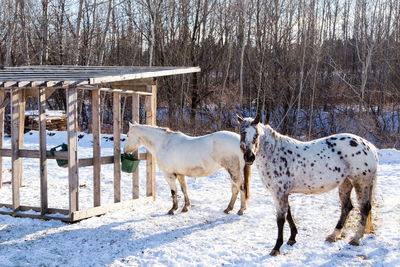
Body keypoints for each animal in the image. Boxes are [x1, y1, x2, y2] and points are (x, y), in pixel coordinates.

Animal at [123, 122, 252, 217]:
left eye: (128, 135)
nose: (125, 151)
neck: (164, 144)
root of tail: (241, 142)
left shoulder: (169, 175)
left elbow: (174, 191)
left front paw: (173, 209)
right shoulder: (180, 174)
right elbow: (184, 189)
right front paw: (186, 207)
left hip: (234, 171)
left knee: (241, 188)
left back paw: (241, 210)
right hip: (233, 172)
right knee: (235, 189)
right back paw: (228, 208)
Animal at [238, 115, 378, 258]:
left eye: (256, 135)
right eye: (242, 132)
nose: (249, 157)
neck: (275, 154)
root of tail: (369, 146)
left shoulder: (279, 193)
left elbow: (281, 220)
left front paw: (276, 248)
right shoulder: (284, 193)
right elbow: (289, 213)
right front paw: (292, 238)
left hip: (361, 183)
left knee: (364, 208)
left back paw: (355, 239)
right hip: (346, 183)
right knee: (347, 207)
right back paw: (333, 235)